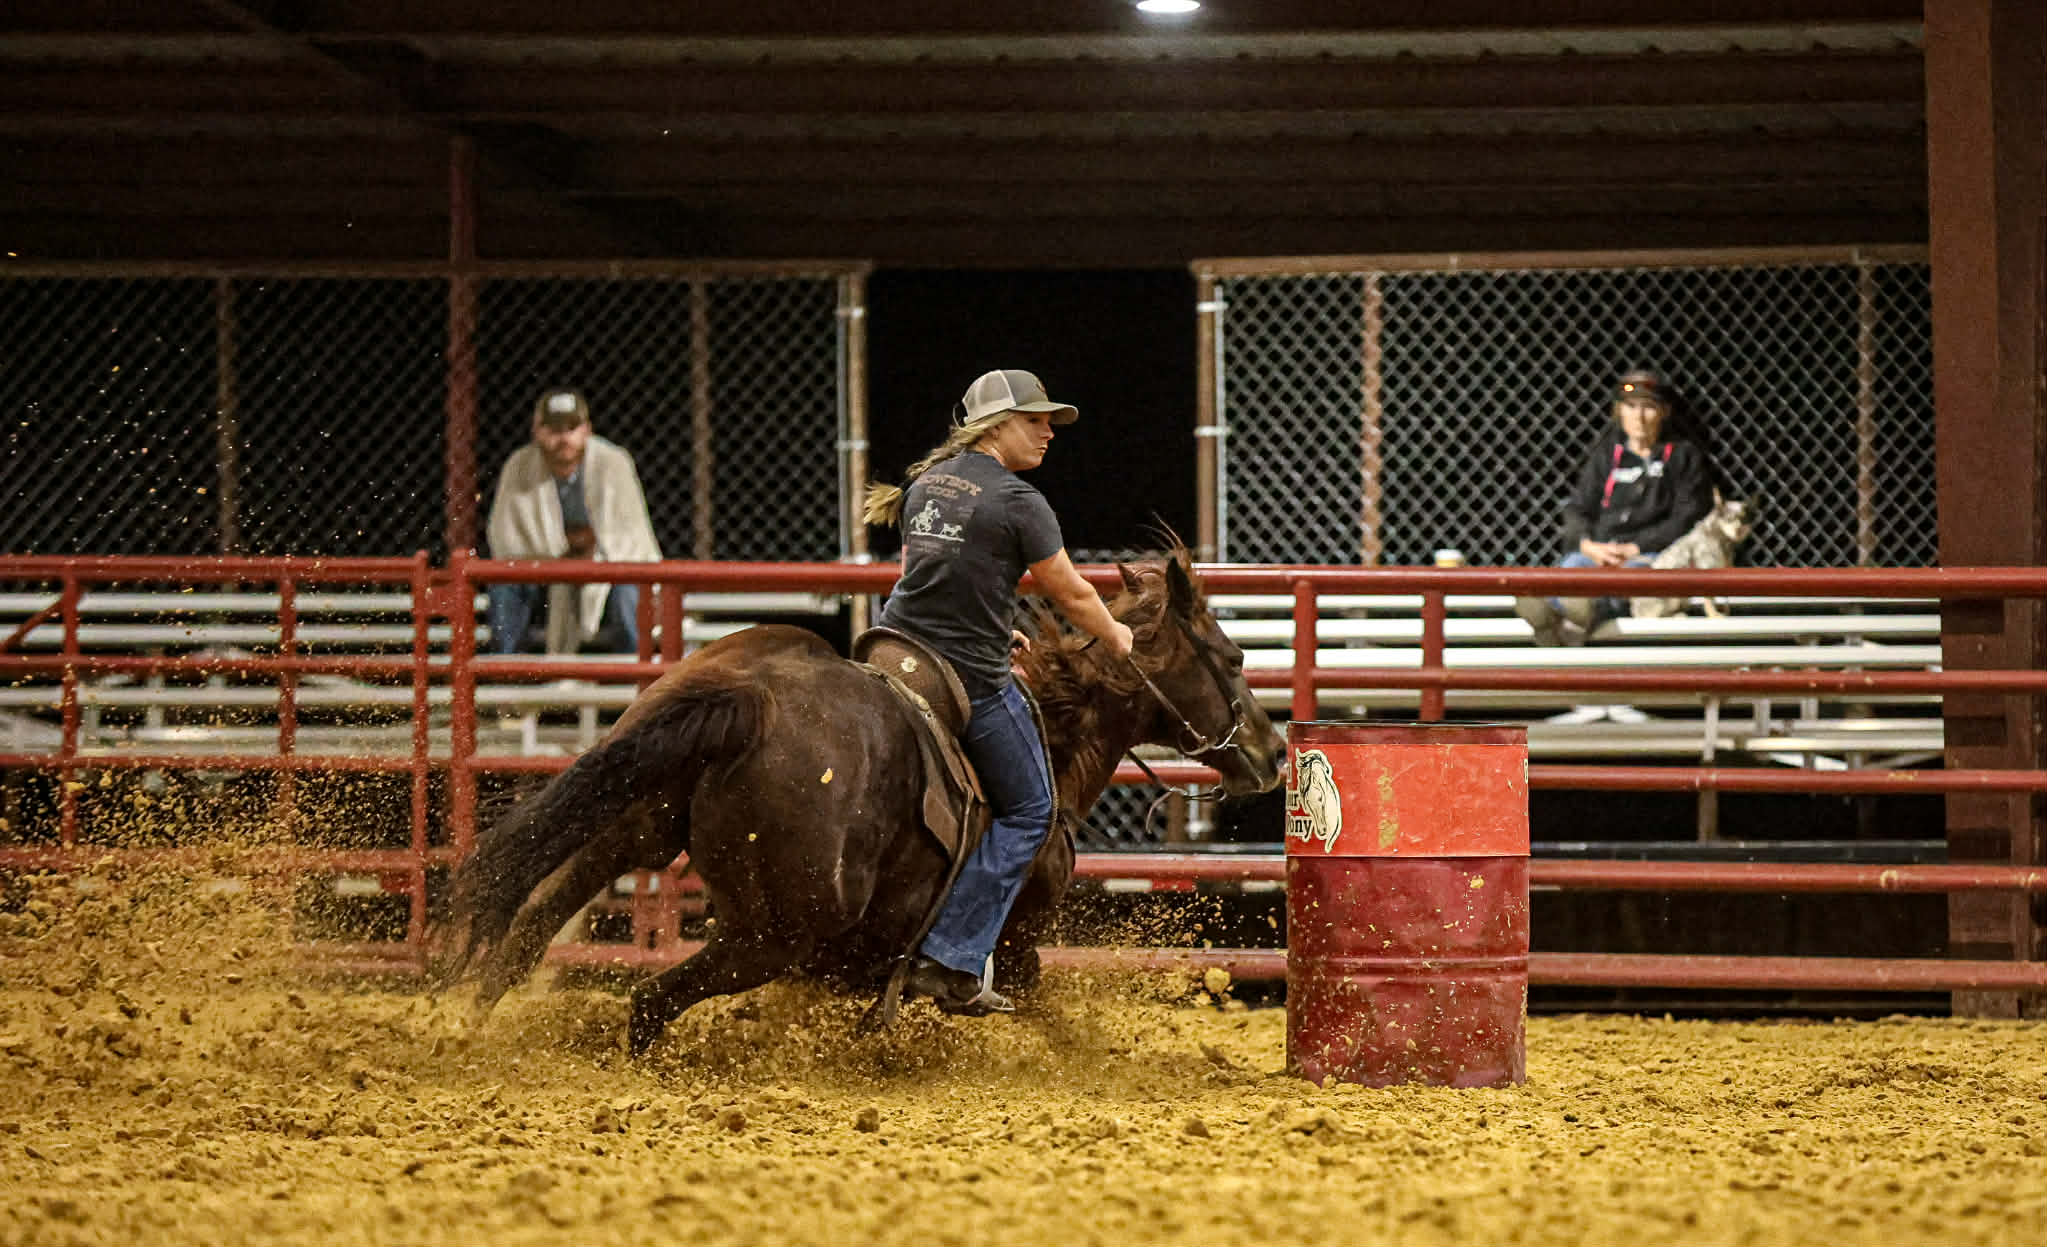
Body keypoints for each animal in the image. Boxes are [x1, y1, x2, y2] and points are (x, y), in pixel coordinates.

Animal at [431, 547, 1285, 1056]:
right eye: (1231, 655)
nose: (1272, 751)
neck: (1054, 731)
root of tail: (752, 700)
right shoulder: (1015, 948)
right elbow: (1054, 1017)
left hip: (635, 825)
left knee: (533, 920)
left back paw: (462, 1030)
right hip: (768, 935)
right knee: (647, 999)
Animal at [1630, 493, 1759, 619]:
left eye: (1744, 520)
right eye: (1728, 519)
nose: (1738, 531)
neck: (1721, 540)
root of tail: (1634, 607)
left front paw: (1722, 610)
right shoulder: (1707, 569)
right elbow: (1709, 599)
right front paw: (1713, 614)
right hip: (1671, 598)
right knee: (1653, 616)